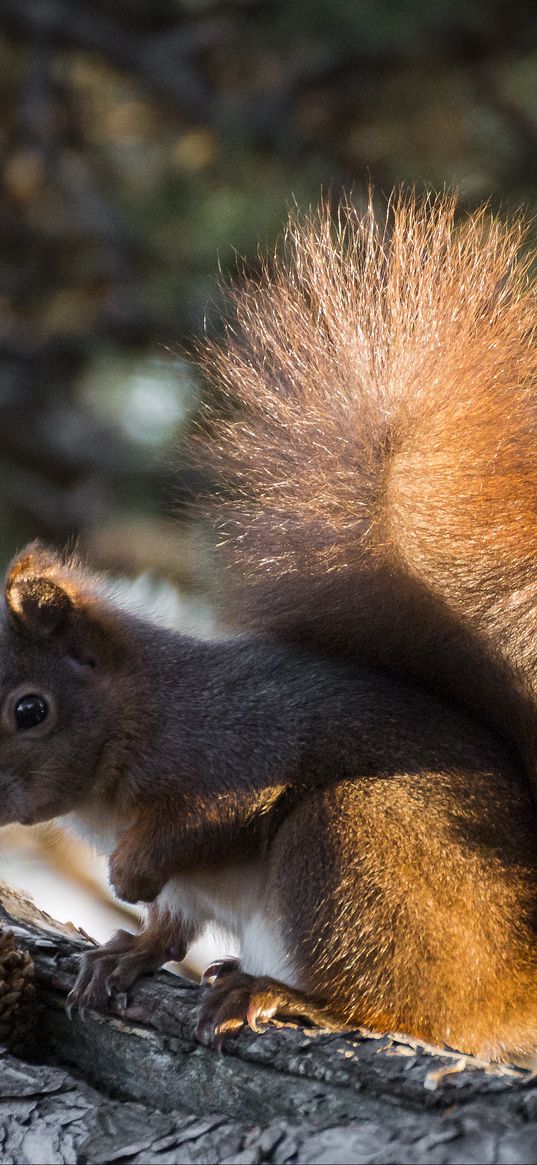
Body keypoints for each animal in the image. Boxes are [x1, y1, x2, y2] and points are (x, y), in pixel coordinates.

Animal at [0, 193, 535, 1067]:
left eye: (30, 709)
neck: (135, 717)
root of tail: (520, 981)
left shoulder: (231, 743)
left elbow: (213, 812)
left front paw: (130, 875)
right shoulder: (189, 883)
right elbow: (172, 919)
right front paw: (126, 949)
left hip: (353, 845)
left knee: (403, 1005)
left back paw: (283, 994)